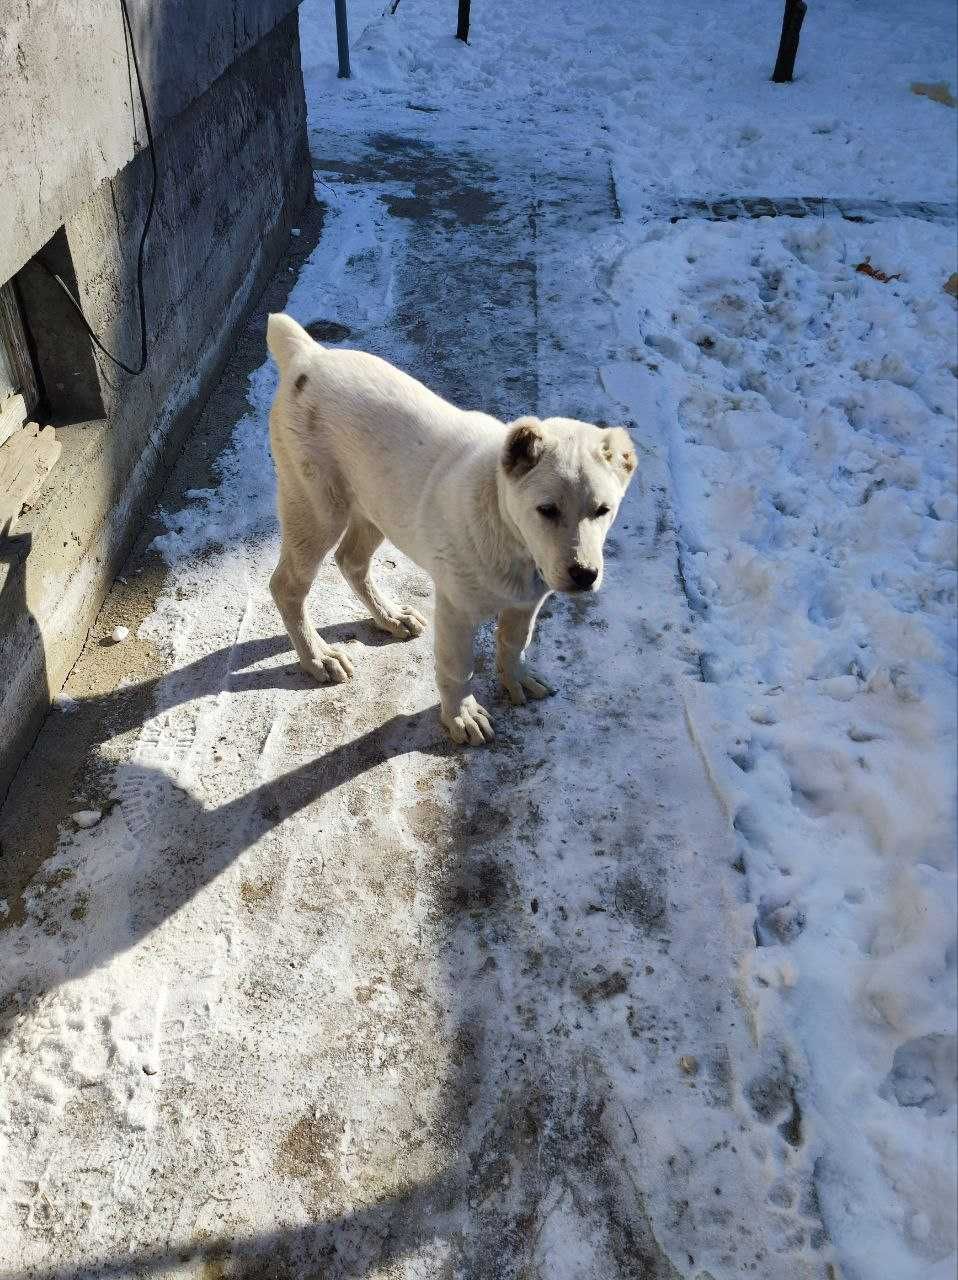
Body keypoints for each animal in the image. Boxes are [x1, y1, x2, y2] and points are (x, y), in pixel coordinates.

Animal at [265, 313, 635, 747]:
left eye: (603, 510)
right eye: (546, 510)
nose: (584, 575)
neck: (509, 533)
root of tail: (308, 354)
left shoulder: (527, 600)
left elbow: (514, 643)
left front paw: (517, 679)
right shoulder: (456, 609)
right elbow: (459, 666)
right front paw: (461, 716)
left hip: (378, 505)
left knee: (351, 560)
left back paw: (390, 617)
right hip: (317, 510)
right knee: (288, 585)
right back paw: (317, 656)